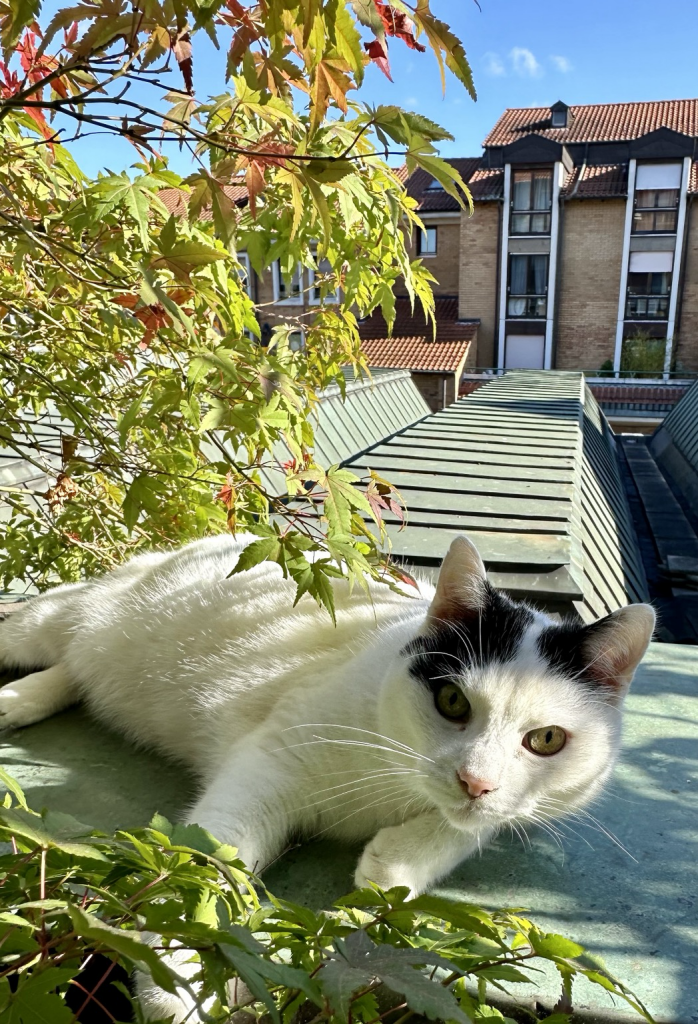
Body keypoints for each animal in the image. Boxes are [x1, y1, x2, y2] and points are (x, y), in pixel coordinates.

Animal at [0, 532, 650, 1019]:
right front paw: (182, 978)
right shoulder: (271, 760)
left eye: (546, 741)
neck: (396, 782)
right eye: (452, 703)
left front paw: (391, 869)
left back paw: (20, 700)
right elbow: (209, 864)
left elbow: (470, 827)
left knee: (74, 673)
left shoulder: (507, 808)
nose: (475, 781)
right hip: (54, 620)